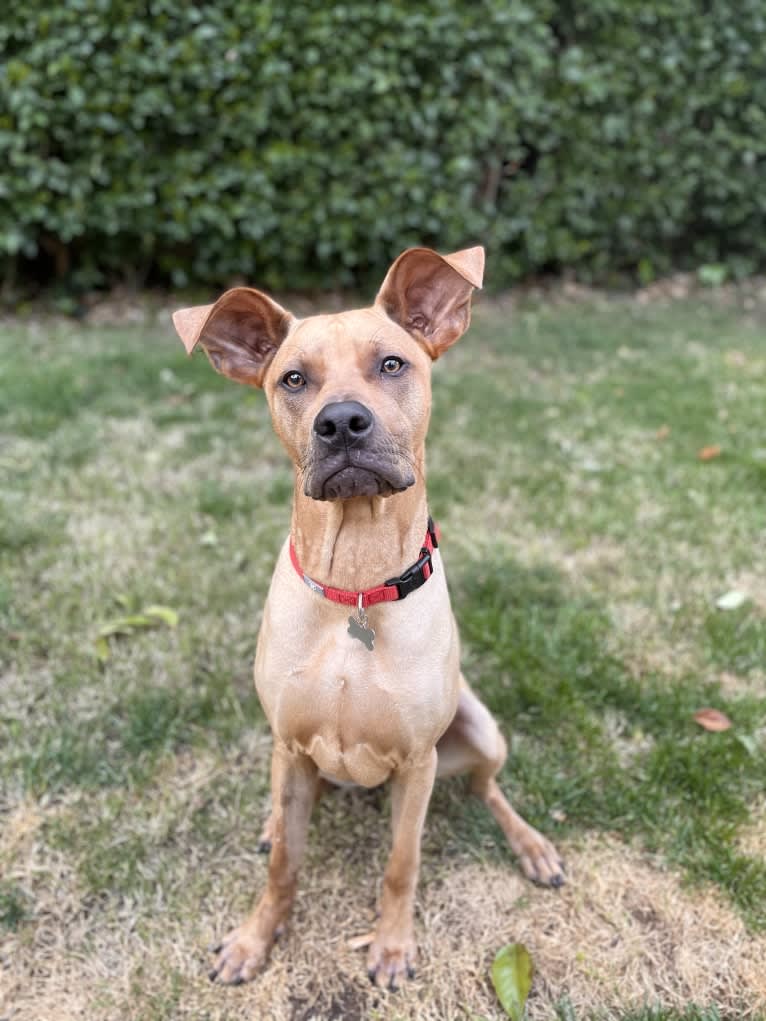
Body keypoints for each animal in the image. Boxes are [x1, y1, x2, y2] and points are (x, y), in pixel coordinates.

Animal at [172, 245, 563, 988]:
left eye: (391, 364)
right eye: (294, 378)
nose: (342, 423)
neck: (354, 585)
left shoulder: (416, 763)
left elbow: (401, 864)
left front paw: (391, 946)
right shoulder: (290, 742)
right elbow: (283, 867)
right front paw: (254, 939)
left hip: (479, 727)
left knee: (488, 787)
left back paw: (531, 845)